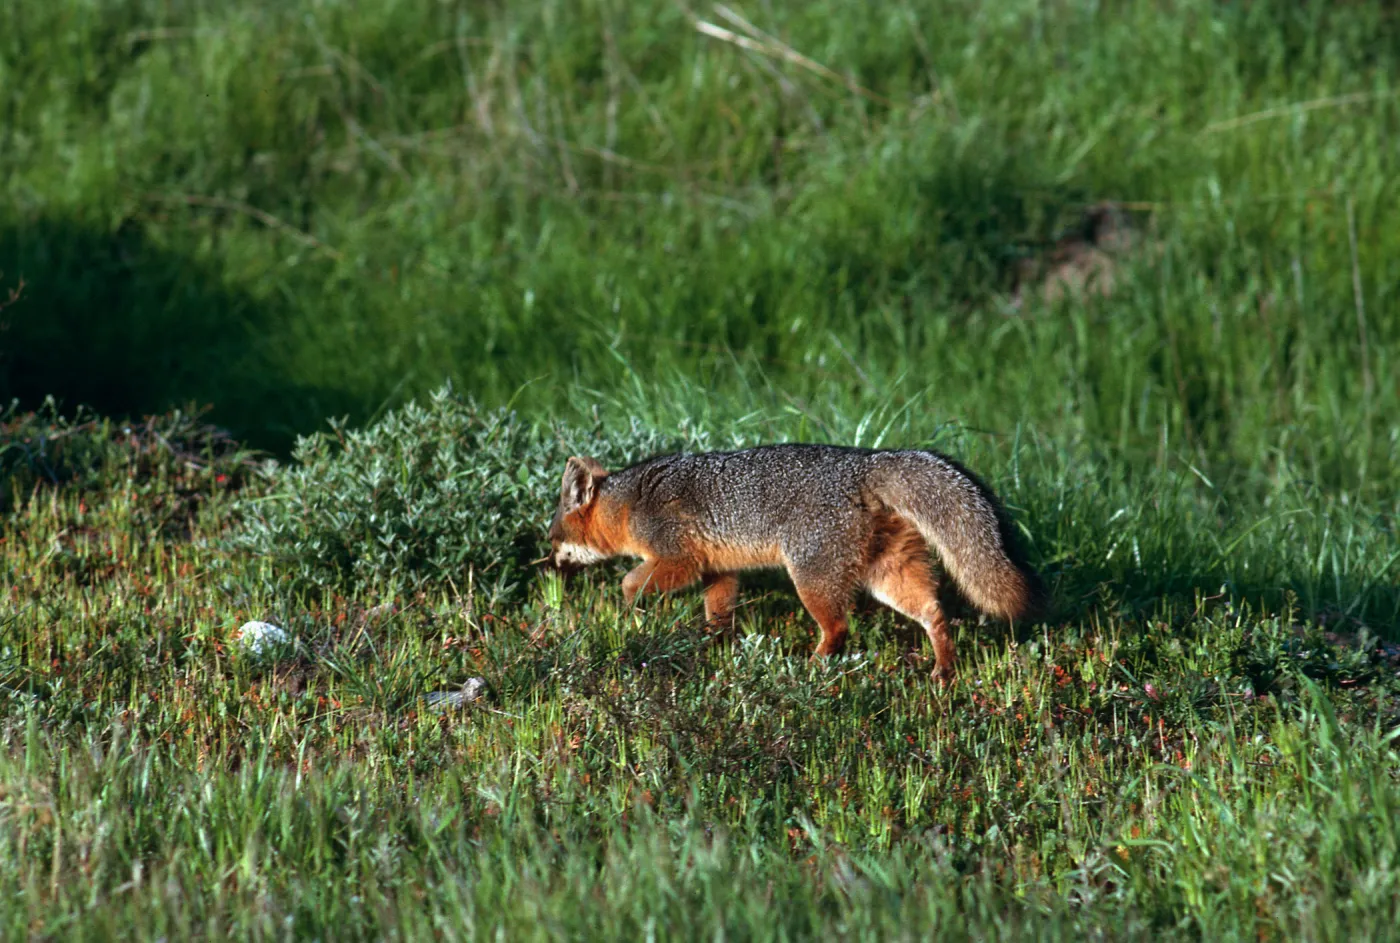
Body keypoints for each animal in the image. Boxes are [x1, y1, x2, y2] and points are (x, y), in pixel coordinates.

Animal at [546, 444, 1043, 682]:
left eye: (552, 541)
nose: (547, 567)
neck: (631, 501)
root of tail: (866, 464)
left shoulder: (677, 560)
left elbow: (630, 582)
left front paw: (630, 614)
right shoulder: (719, 572)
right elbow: (717, 616)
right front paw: (713, 648)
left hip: (810, 577)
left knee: (839, 629)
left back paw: (809, 669)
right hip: (887, 577)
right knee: (935, 614)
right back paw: (943, 671)